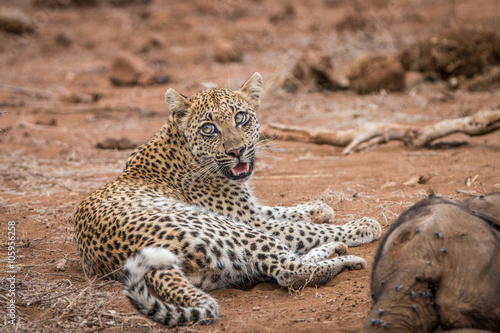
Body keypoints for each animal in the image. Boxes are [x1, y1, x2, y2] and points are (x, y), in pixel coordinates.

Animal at [72, 72, 380, 324]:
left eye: (240, 117)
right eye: (208, 128)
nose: (237, 151)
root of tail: (153, 267)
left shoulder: (249, 211)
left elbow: (283, 211)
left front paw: (319, 208)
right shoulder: (248, 219)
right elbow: (304, 228)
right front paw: (362, 226)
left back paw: (334, 249)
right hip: (229, 228)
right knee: (289, 270)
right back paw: (345, 257)